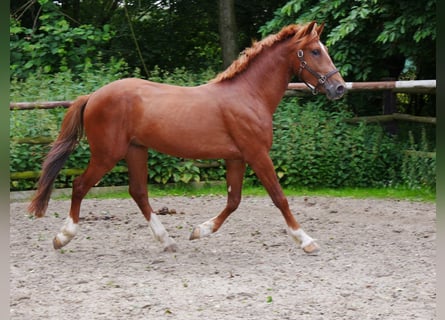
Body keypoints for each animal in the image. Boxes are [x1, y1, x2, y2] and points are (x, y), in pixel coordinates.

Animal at [28, 20, 346, 255]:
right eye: (314, 51)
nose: (340, 88)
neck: (249, 95)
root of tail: (93, 96)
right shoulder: (257, 154)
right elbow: (279, 198)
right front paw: (306, 241)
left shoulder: (237, 158)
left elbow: (234, 201)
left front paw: (199, 231)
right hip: (108, 154)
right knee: (80, 186)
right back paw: (63, 237)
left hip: (136, 150)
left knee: (138, 192)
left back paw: (167, 241)